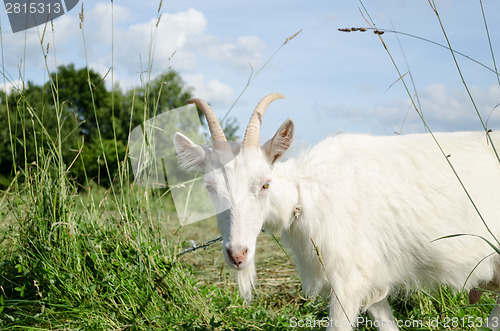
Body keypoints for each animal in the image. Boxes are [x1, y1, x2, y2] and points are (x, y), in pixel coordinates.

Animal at [174, 93, 500, 331]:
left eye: (265, 184)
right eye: (210, 187)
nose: (238, 254)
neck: (306, 192)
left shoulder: (347, 278)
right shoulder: (369, 277)